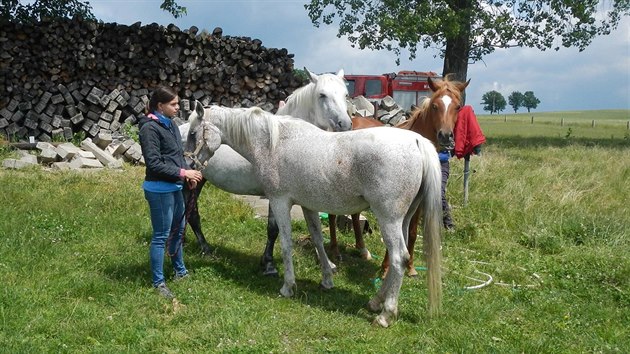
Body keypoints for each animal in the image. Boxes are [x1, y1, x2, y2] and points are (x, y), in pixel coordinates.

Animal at [180, 69, 354, 260]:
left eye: (346, 94)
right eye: (322, 95)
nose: (345, 124)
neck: (282, 140)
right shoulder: (276, 195)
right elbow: (273, 228)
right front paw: (268, 262)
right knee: (191, 214)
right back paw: (204, 248)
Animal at [188, 103, 444, 328]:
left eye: (192, 133)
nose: (189, 164)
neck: (273, 144)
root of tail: (416, 141)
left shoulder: (280, 202)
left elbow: (285, 243)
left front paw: (288, 286)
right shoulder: (307, 206)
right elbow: (319, 240)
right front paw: (327, 279)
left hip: (388, 219)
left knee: (399, 257)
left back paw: (385, 315)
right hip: (403, 219)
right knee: (396, 257)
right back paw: (375, 302)